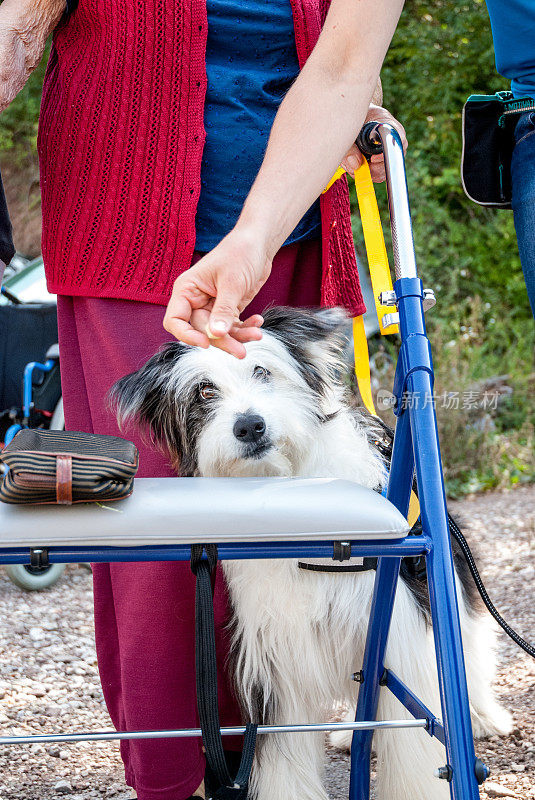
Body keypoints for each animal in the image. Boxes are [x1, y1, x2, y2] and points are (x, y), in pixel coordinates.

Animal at [111, 306, 512, 800]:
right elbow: (285, 757)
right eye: (204, 391)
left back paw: (483, 716)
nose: (249, 425)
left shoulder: (402, 628)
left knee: (470, 646)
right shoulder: (275, 653)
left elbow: (422, 743)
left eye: (263, 371)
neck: (293, 495)